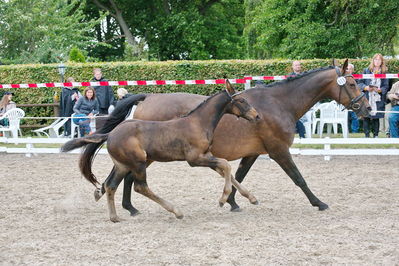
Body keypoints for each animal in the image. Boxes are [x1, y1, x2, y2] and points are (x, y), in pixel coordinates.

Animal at [59, 81, 260, 222]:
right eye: (241, 100)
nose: (257, 116)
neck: (197, 123)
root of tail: (110, 134)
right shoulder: (195, 159)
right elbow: (226, 166)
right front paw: (223, 199)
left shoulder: (207, 156)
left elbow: (227, 171)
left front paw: (250, 198)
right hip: (138, 162)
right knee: (140, 186)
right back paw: (176, 211)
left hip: (122, 165)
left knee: (111, 184)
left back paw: (114, 216)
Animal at [91, 58, 372, 216]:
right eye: (352, 84)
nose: (367, 108)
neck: (278, 103)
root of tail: (147, 97)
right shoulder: (279, 151)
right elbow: (298, 178)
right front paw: (318, 202)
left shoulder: (252, 153)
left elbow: (238, 176)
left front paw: (233, 202)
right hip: (146, 156)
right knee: (129, 178)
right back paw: (129, 208)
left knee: (122, 177)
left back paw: (125, 205)